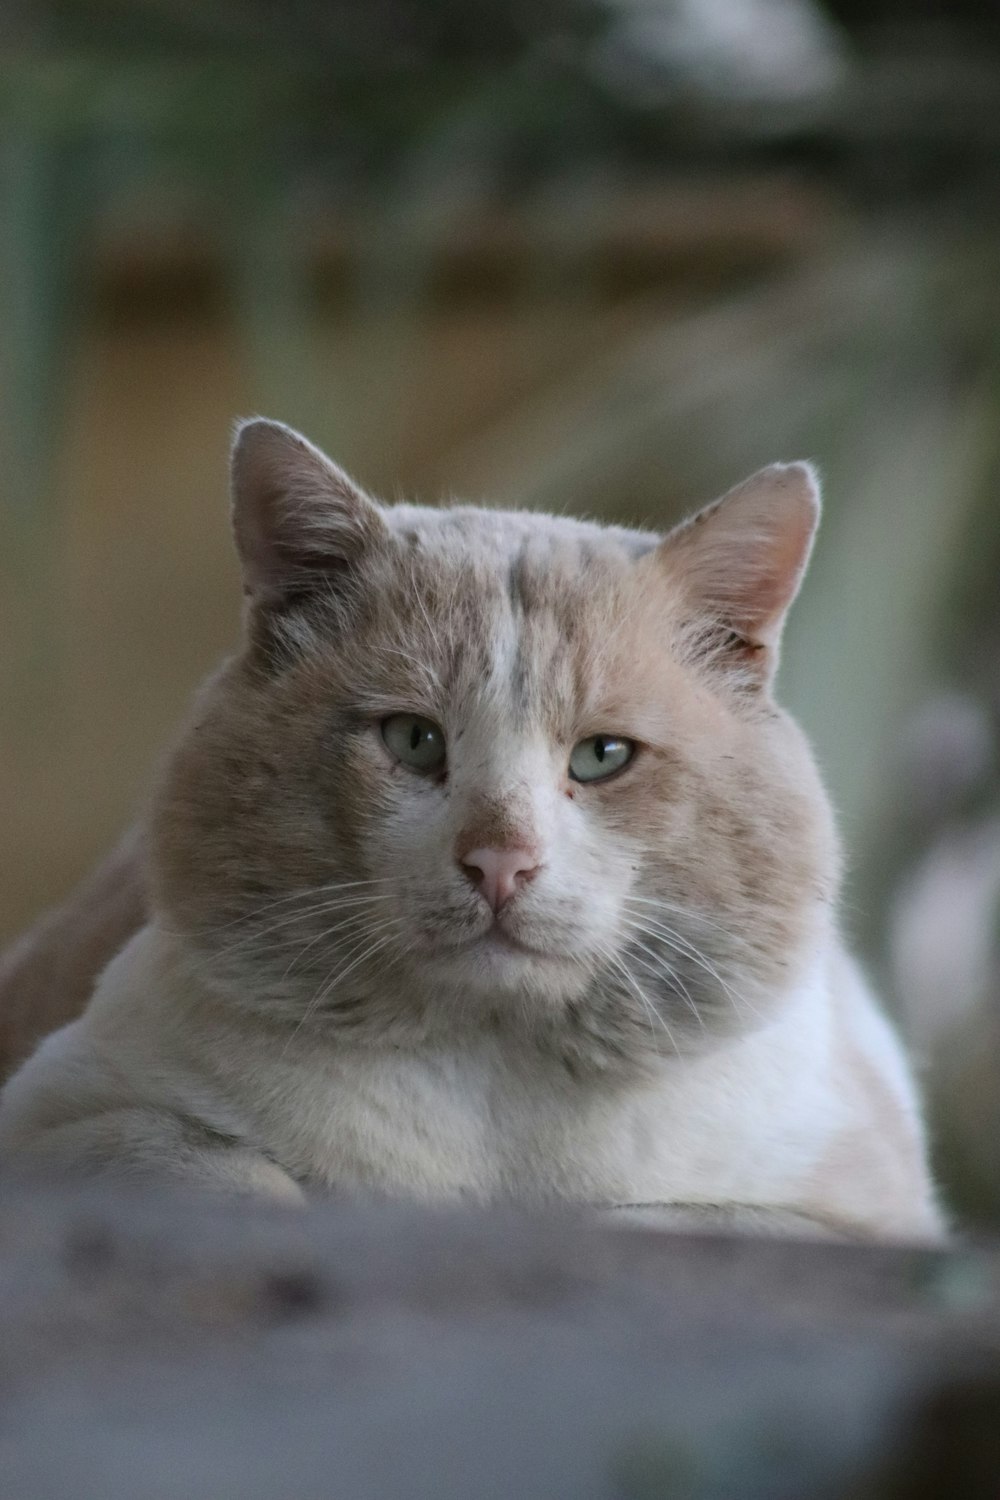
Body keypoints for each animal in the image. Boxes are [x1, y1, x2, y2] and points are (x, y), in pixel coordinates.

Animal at [0, 417, 947, 1236]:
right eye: (413, 740)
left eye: (603, 756)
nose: (500, 861)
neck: (494, 1080)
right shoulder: (63, 1124)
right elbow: (241, 1178)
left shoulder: (866, 1219)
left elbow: (661, 1220)